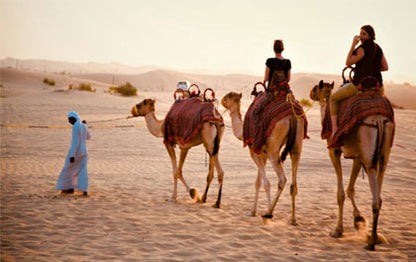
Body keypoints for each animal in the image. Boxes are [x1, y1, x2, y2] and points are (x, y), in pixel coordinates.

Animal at [221, 90, 306, 223]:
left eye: (228, 96)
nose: (221, 100)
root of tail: (292, 116)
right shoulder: (262, 155)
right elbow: (258, 182)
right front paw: (252, 211)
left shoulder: (254, 152)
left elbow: (266, 183)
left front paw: (262, 211)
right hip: (297, 144)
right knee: (294, 182)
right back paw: (293, 219)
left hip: (273, 150)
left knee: (282, 179)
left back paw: (268, 212)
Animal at [310, 81, 394, 251]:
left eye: (316, 87)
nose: (310, 92)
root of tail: (379, 119)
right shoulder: (357, 156)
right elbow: (350, 189)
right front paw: (358, 219)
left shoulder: (334, 151)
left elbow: (341, 193)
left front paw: (338, 230)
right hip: (383, 153)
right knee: (380, 187)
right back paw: (375, 236)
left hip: (368, 146)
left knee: (375, 198)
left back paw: (371, 242)